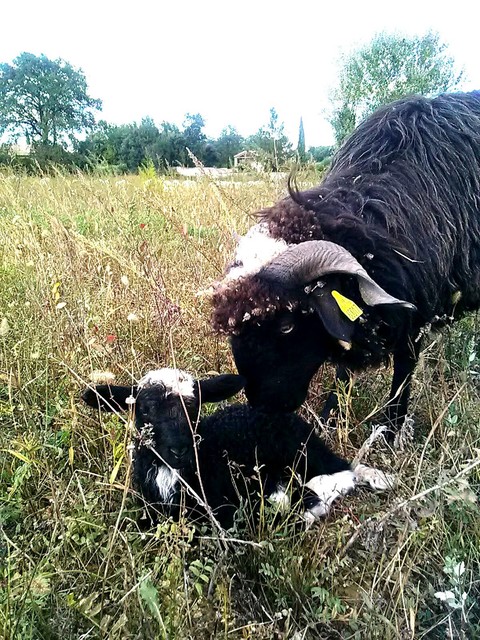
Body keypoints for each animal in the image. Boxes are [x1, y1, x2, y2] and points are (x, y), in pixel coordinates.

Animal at [211, 91, 480, 438]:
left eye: (286, 325)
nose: (265, 409)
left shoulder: (415, 316)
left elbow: (402, 375)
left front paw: (390, 432)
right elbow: (342, 368)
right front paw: (329, 418)